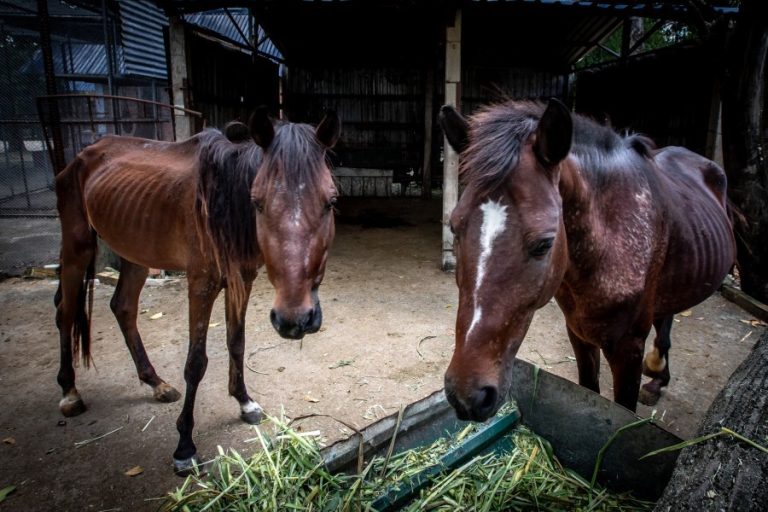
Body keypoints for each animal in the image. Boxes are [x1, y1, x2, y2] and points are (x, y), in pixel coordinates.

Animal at [54, 108, 342, 472]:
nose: (294, 320)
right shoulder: (201, 285)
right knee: (66, 314)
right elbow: (196, 362)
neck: (222, 200)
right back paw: (69, 392)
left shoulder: (242, 278)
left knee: (123, 308)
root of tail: (84, 153)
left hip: (135, 252)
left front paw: (244, 402)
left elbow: (236, 342)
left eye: (330, 201)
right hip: (76, 247)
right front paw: (185, 446)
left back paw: (156, 383)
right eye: (257, 203)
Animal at [438, 99, 732, 420]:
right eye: (454, 226)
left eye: (544, 244)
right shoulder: (579, 335)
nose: (468, 395)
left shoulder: (629, 349)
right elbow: (589, 391)